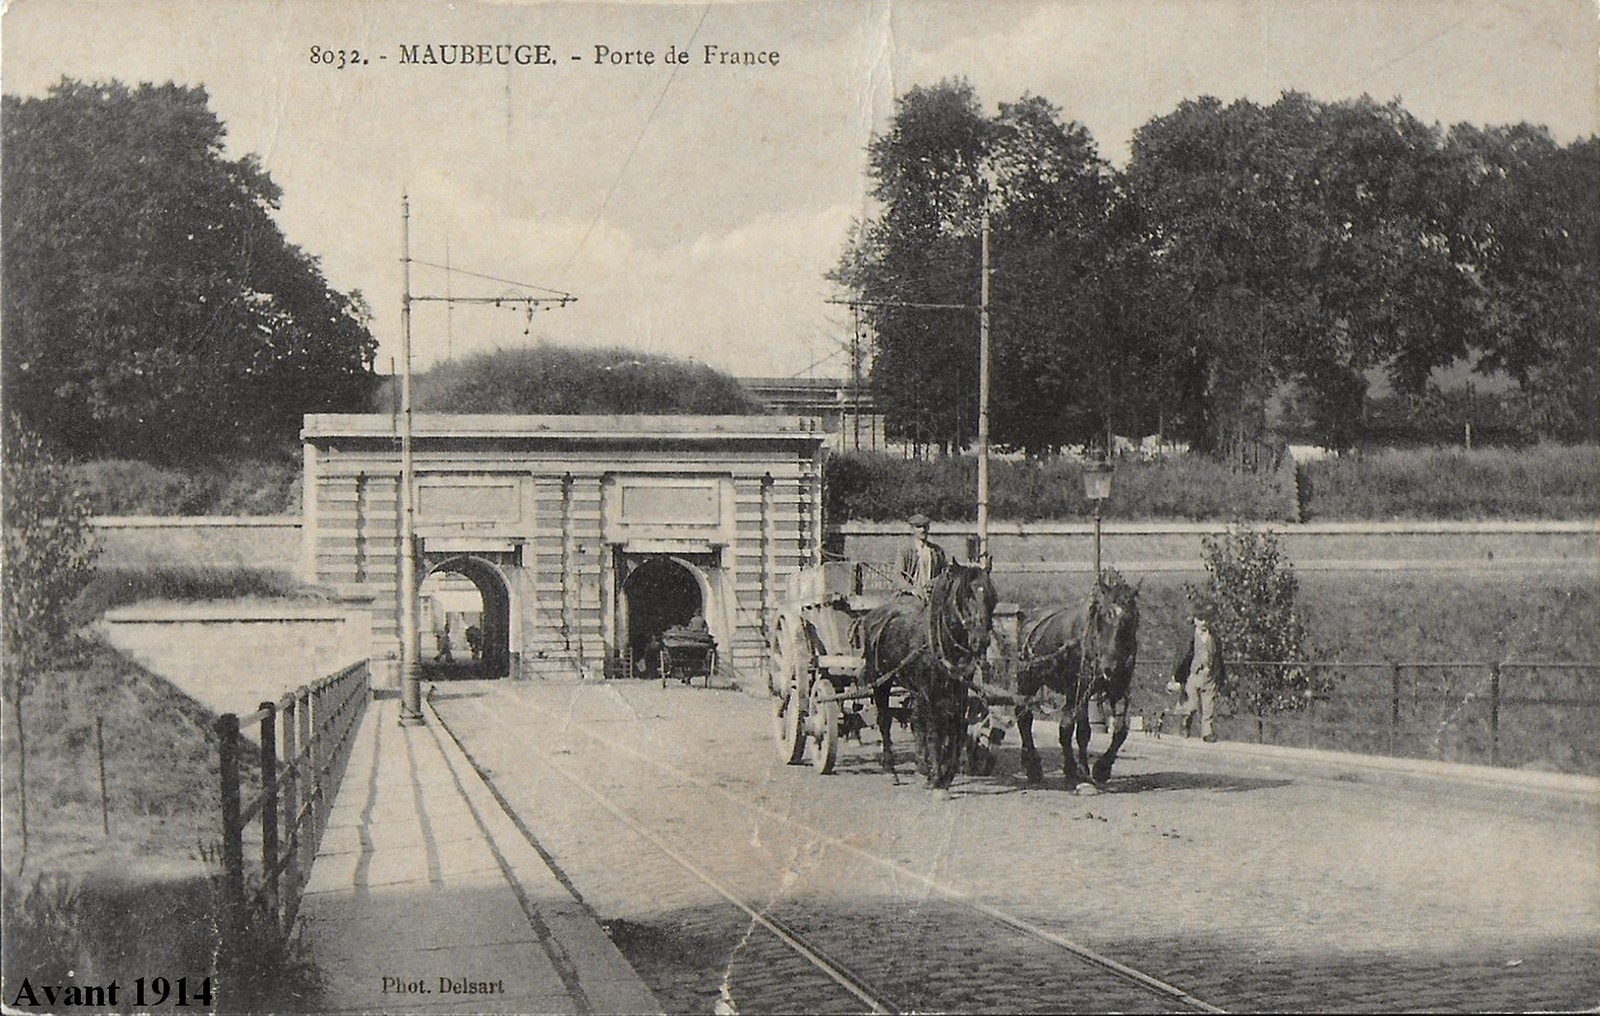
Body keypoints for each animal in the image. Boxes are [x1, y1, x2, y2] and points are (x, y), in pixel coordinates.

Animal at [857, 569, 992, 790]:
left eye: (991, 595)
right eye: (965, 595)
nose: (981, 640)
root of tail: (872, 615)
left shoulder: (958, 690)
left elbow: (955, 727)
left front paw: (946, 773)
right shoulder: (930, 692)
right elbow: (935, 730)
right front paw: (936, 776)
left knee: (916, 720)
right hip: (881, 681)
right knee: (885, 721)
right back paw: (891, 769)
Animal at [1011, 569, 1139, 790]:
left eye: (1131, 618)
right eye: (1103, 616)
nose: (1111, 667)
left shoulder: (1118, 688)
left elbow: (1120, 729)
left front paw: (1101, 768)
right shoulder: (1077, 690)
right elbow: (1074, 730)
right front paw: (1074, 771)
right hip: (1028, 680)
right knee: (1024, 716)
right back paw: (1033, 764)